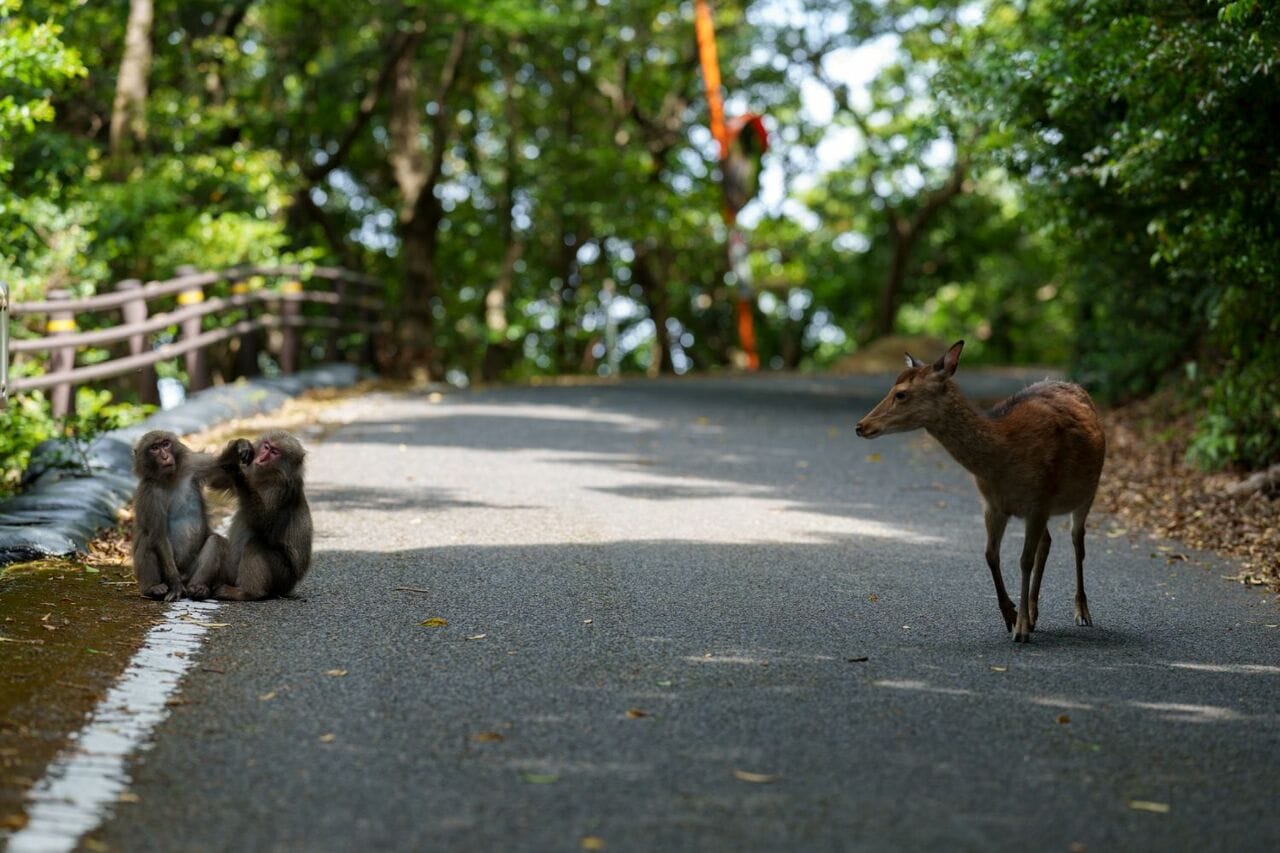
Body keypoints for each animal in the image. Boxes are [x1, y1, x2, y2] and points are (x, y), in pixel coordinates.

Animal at [860, 338, 1111, 637]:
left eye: (901, 394)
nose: (861, 425)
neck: (1002, 458)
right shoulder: (994, 504)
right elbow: (991, 555)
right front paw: (1011, 615)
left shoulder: (1038, 500)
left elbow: (1024, 560)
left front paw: (1020, 628)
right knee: (1047, 542)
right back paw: (1034, 613)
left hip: (1088, 491)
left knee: (1077, 541)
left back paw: (1081, 612)